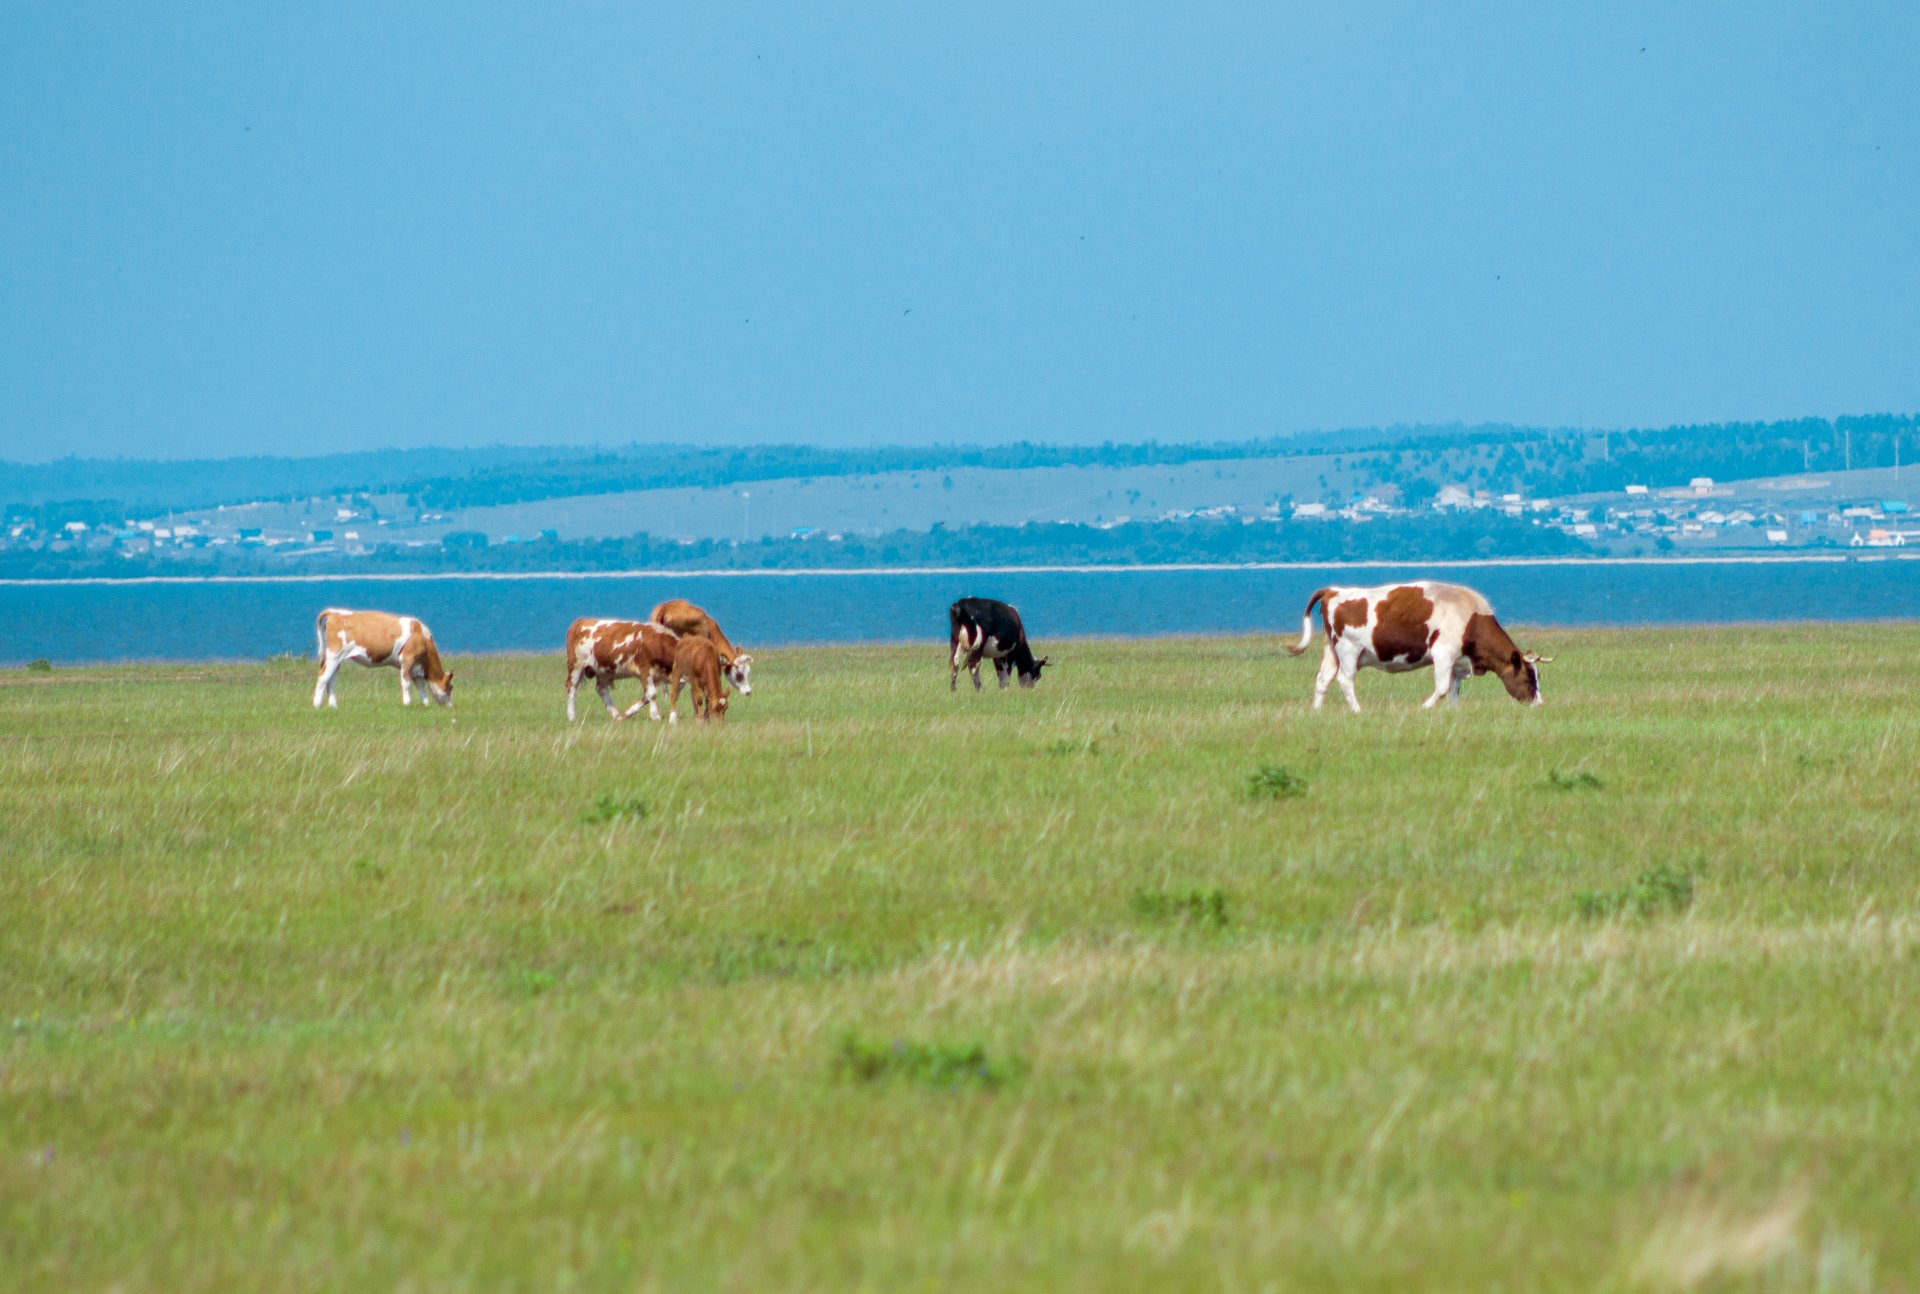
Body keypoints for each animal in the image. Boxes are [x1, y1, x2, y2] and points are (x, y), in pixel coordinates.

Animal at [312, 606, 451, 706]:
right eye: (450, 687)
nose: (450, 706)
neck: (422, 636)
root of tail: (334, 612)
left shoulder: (416, 666)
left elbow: (420, 685)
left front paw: (425, 704)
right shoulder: (407, 659)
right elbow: (406, 683)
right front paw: (407, 704)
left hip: (337, 659)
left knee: (331, 679)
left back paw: (333, 705)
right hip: (334, 655)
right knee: (323, 677)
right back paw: (317, 704)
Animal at [1282, 583, 1551, 710]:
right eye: (1529, 677)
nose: (1539, 703)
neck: (1471, 616)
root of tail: (1333, 590)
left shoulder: (1458, 662)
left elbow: (1454, 689)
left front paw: (1454, 711)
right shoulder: (1443, 654)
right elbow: (1442, 688)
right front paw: (1423, 708)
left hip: (1332, 650)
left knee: (1323, 679)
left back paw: (1317, 711)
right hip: (1349, 650)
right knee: (1344, 680)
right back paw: (1358, 710)